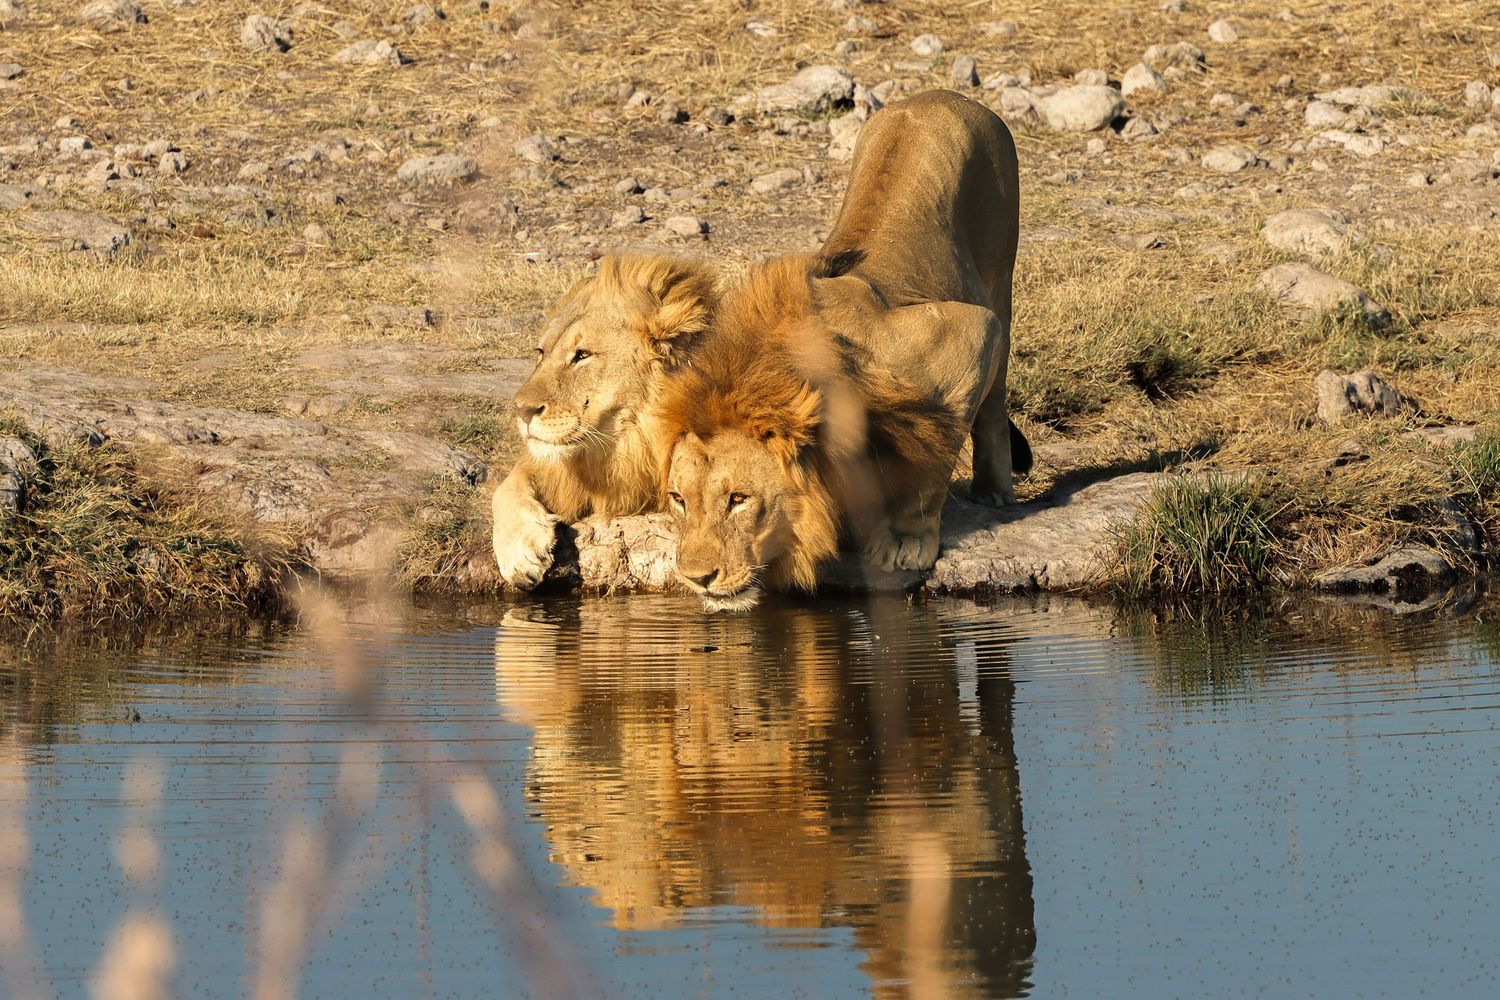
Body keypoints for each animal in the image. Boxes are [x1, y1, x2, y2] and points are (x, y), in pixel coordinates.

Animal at [655, 90, 1029, 611]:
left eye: (739, 499)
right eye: (679, 499)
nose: (697, 578)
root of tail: (941, 95)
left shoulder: (967, 335)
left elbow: (928, 465)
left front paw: (905, 541)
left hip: (1001, 277)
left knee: (993, 401)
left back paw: (994, 491)